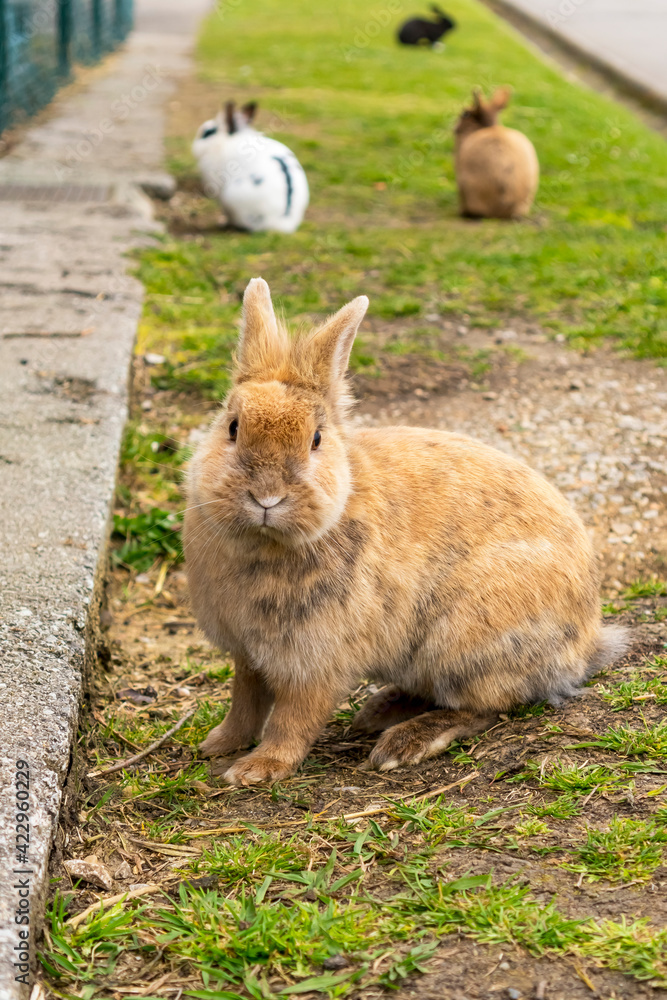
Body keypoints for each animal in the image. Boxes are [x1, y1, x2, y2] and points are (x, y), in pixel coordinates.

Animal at [185, 278, 628, 784]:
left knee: (485, 707)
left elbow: (294, 718)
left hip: (463, 643)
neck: (266, 544)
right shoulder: (247, 656)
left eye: (316, 440)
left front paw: (259, 769)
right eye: (232, 428)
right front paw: (217, 745)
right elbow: (245, 701)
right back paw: (377, 712)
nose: (266, 497)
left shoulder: (318, 659)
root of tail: (586, 644)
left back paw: (401, 742)